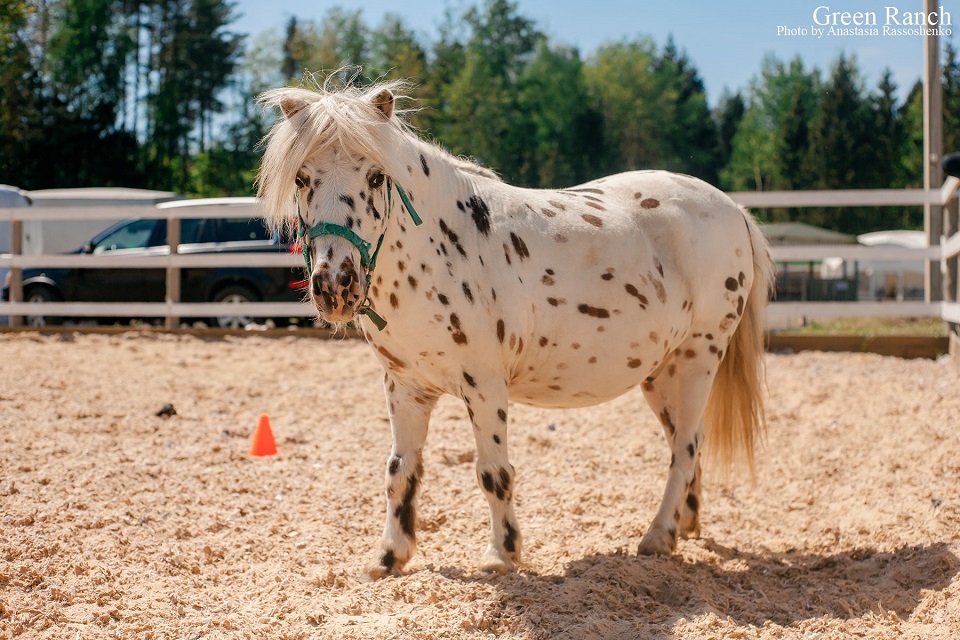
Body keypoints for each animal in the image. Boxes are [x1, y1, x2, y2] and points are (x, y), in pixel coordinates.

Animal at [255, 77, 775, 578]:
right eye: (302, 178)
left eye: (376, 177)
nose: (335, 284)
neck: (439, 248)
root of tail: (732, 209)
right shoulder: (405, 387)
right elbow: (400, 472)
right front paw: (389, 557)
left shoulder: (484, 386)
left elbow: (493, 473)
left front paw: (501, 555)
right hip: (660, 373)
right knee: (685, 443)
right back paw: (686, 524)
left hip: (698, 358)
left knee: (685, 447)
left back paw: (659, 537)